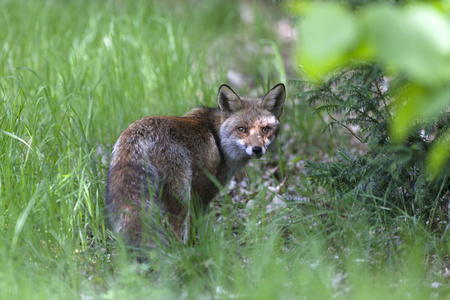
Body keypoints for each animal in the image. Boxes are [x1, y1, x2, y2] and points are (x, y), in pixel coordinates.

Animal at [105, 83, 284, 250]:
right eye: (242, 129)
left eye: (265, 129)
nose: (257, 149)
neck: (219, 140)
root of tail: (137, 135)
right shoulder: (202, 195)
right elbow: (195, 227)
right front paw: (197, 247)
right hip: (181, 196)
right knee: (174, 230)